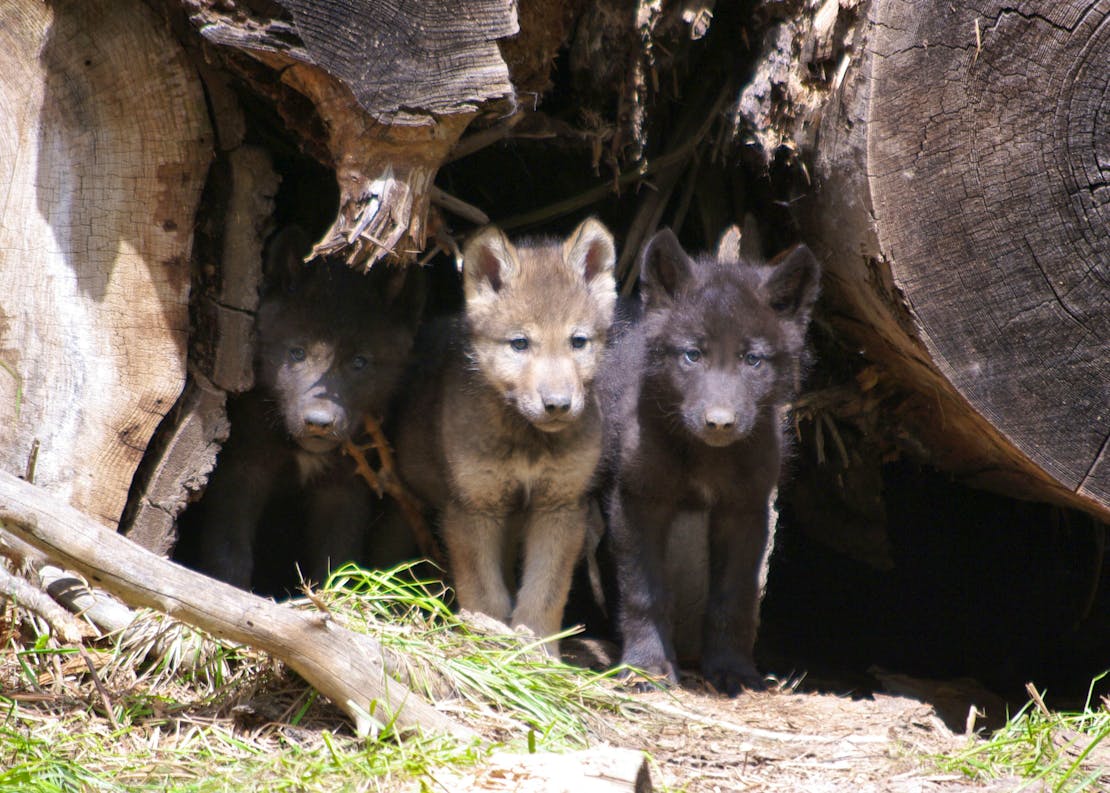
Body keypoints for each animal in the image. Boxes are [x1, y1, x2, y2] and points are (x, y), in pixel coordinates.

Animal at [189, 227, 423, 592]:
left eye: (360, 362)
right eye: (297, 353)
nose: (318, 422)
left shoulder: (344, 487)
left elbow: (337, 557)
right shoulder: (241, 465)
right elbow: (229, 547)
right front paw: (227, 589)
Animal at [394, 218, 617, 654]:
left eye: (578, 342)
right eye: (520, 343)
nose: (558, 404)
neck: (527, 443)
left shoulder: (560, 507)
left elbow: (544, 593)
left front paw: (537, 651)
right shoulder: (473, 507)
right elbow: (486, 595)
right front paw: (488, 643)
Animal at [599, 226, 819, 694]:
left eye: (752, 359)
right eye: (692, 355)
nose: (719, 422)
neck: (705, 456)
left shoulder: (744, 509)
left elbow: (733, 598)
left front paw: (732, 669)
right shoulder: (637, 500)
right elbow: (644, 593)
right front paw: (647, 667)